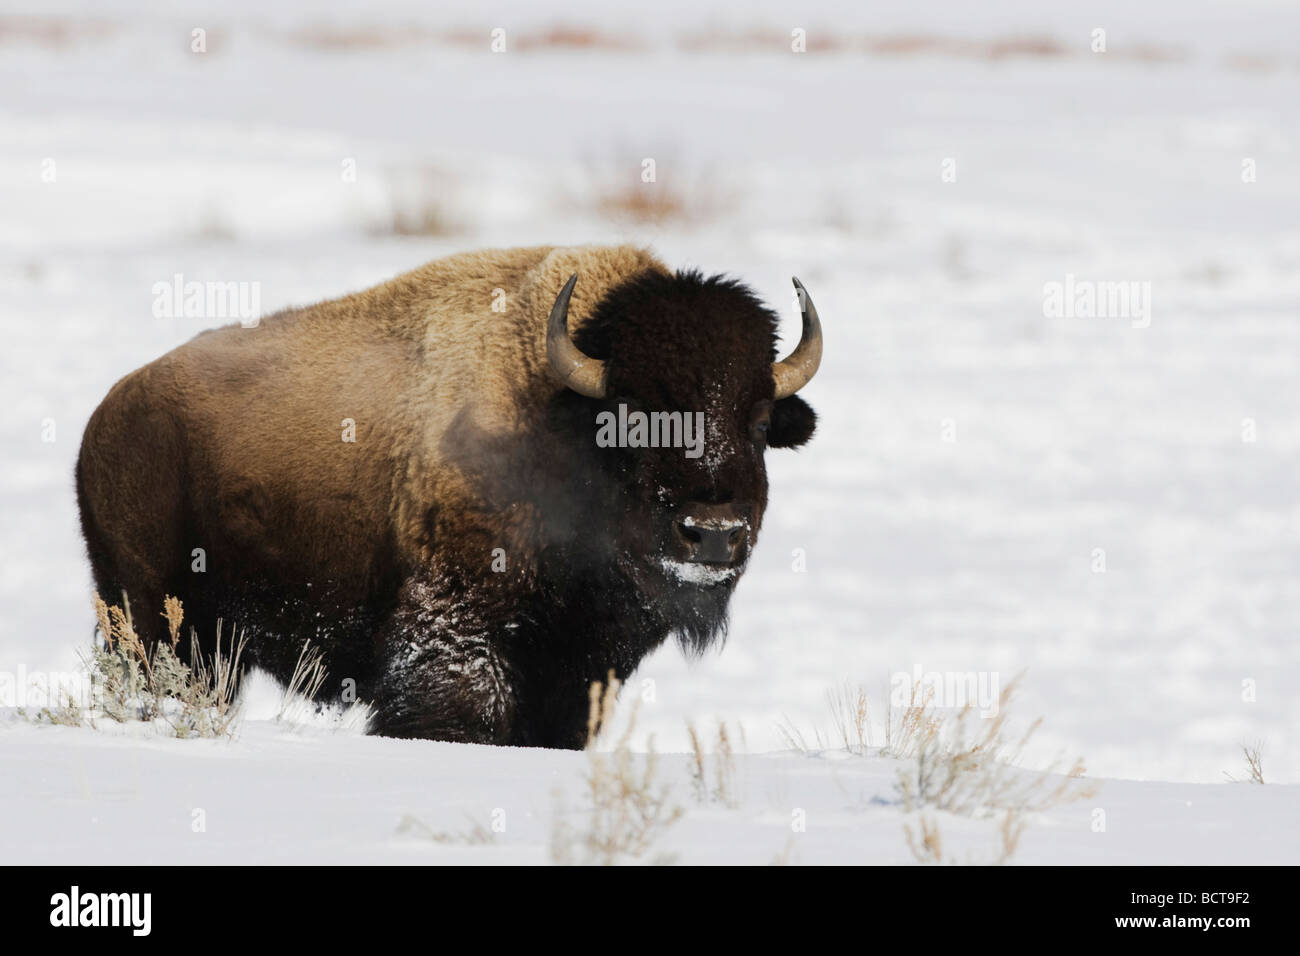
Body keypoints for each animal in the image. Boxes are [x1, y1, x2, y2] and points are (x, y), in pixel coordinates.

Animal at [76, 244, 821, 749]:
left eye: (760, 421)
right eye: (631, 416)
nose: (714, 531)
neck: (559, 418)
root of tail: (109, 413)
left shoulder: (578, 673)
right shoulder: (455, 633)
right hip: (156, 621)